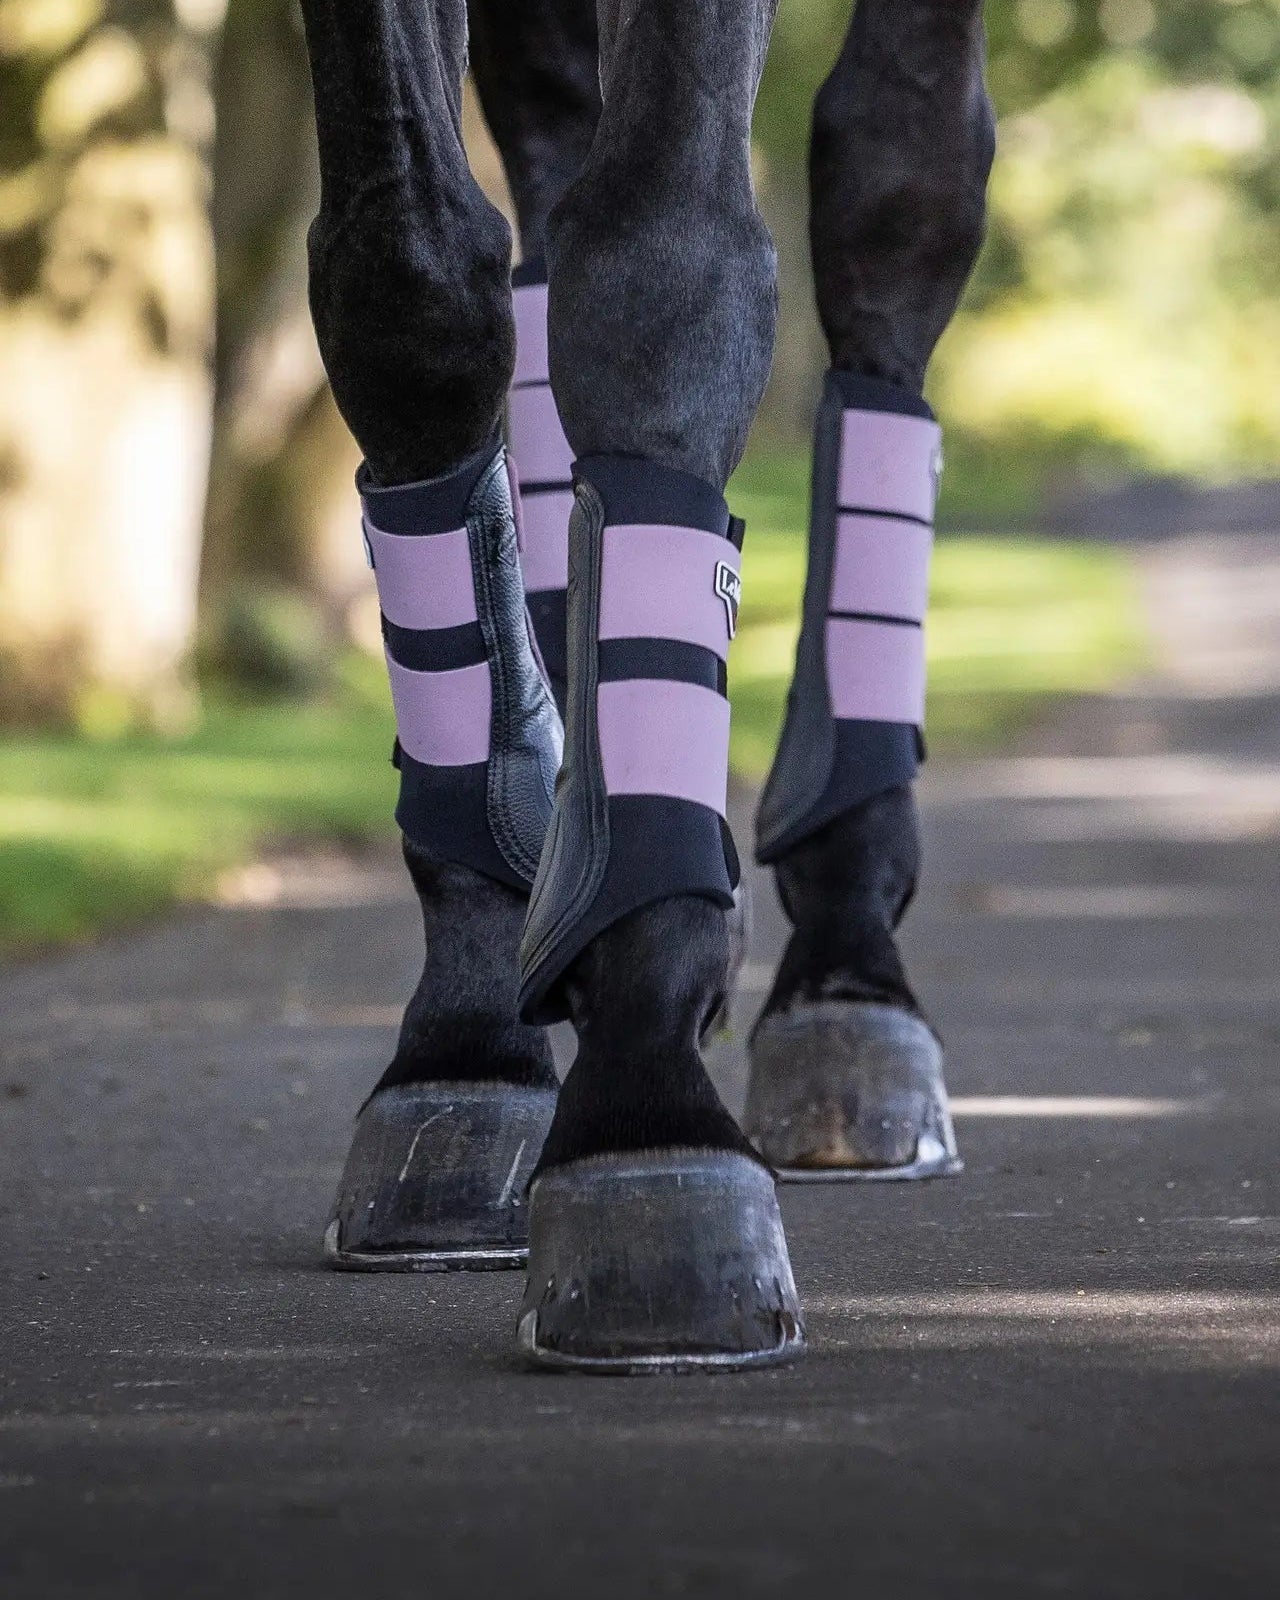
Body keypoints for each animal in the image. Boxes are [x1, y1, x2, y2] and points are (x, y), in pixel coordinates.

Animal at [305, 0, 995, 1372]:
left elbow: (658, 261)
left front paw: (644, 1105)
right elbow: (408, 279)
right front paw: (470, 1043)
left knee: (896, 186)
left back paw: (847, 968)